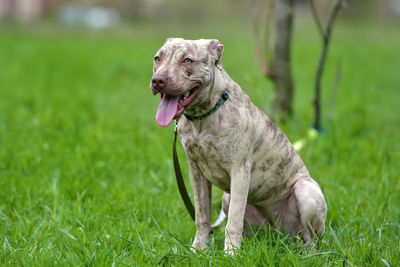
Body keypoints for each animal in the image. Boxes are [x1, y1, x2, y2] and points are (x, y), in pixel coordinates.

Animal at [150, 38, 328, 255]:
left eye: (187, 60)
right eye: (157, 58)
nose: (158, 80)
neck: (204, 115)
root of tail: (281, 231)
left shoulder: (240, 170)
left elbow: (233, 222)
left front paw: (231, 255)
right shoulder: (196, 172)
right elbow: (202, 216)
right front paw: (199, 250)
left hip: (305, 191)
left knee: (311, 238)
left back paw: (308, 254)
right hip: (230, 201)